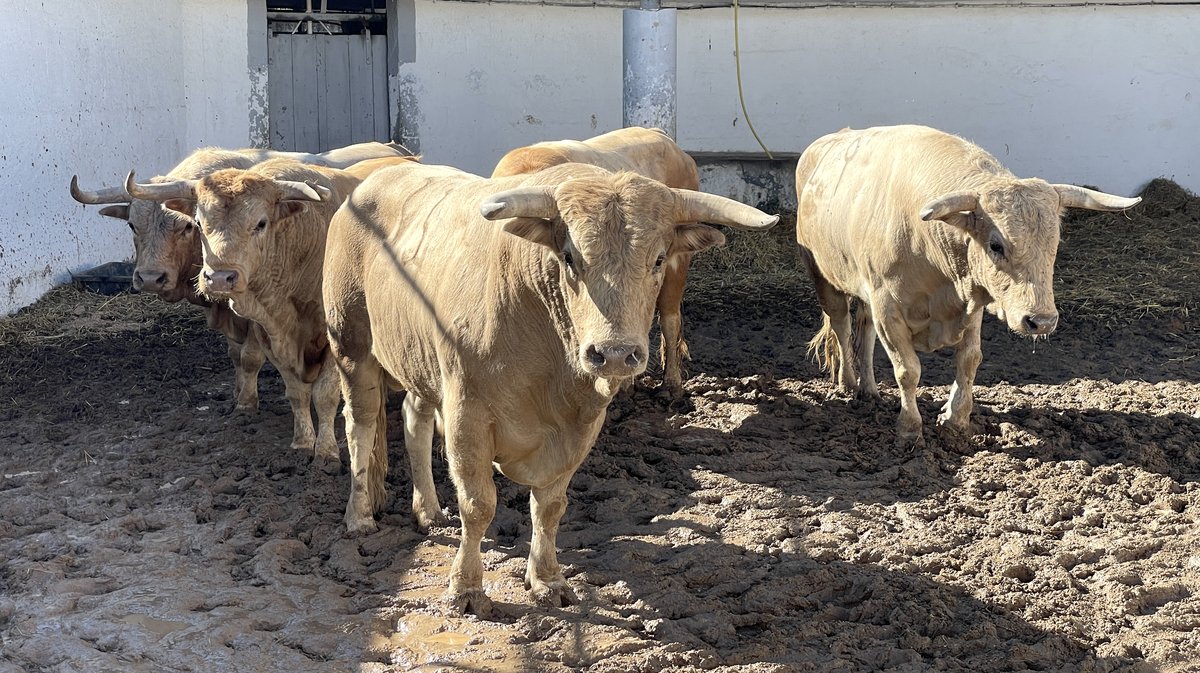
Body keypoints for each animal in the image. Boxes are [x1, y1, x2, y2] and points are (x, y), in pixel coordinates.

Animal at [326, 158, 777, 614]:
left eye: (659, 259)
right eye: (569, 257)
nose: (615, 354)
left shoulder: (580, 426)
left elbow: (550, 507)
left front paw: (547, 579)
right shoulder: (466, 414)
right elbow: (478, 504)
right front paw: (466, 588)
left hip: (418, 359)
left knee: (413, 421)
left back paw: (429, 510)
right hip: (351, 345)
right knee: (360, 427)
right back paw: (359, 515)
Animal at [792, 125, 1137, 446]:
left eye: (1055, 243)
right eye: (996, 245)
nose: (1041, 321)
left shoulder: (970, 304)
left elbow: (969, 359)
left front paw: (954, 417)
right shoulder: (887, 308)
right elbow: (908, 370)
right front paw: (909, 428)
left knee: (863, 329)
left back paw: (869, 388)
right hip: (823, 276)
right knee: (842, 325)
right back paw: (848, 383)